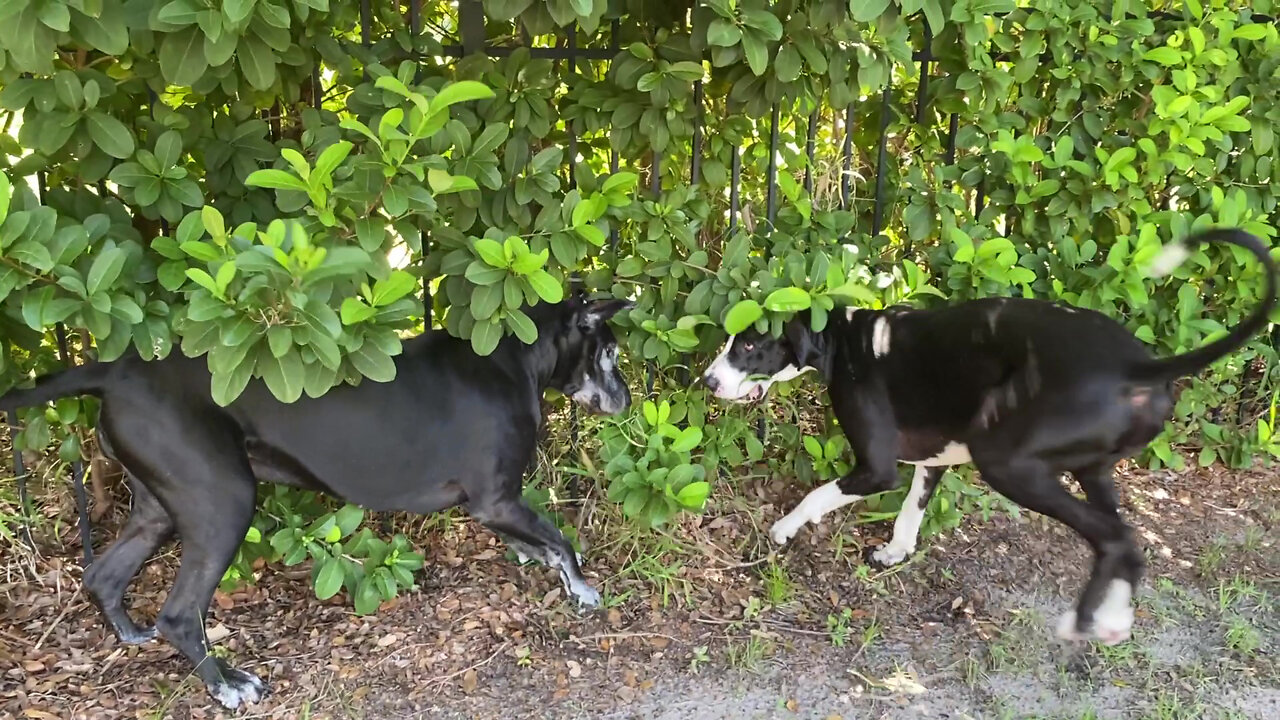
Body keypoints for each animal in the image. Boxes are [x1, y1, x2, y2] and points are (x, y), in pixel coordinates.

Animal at [2, 293, 632, 707]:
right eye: (609, 353)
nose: (627, 399)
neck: (518, 359)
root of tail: (115, 374)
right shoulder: (496, 499)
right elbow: (561, 540)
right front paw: (582, 589)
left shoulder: (495, 504)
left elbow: (543, 544)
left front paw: (553, 572)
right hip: (222, 503)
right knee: (179, 615)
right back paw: (228, 684)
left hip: (158, 508)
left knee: (104, 575)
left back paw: (133, 635)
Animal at [706, 229, 1274, 645]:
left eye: (751, 344)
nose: (708, 381)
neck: (846, 339)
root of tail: (1140, 365)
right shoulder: (933, 458)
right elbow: (912, 512)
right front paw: (894, 553)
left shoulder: (877, 467)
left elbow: (819, 494)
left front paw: (784, 529)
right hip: (1091, 471)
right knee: (1126, 542)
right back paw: (1112, 617)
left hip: (1009, 466)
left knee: (1114, 537)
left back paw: (1088, 622)